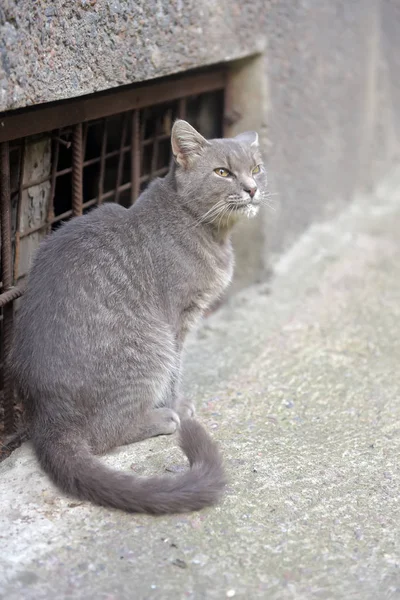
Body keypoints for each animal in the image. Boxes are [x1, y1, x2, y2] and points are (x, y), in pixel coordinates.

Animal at [10, 119, 266, 512]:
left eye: (256, 168)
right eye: (222, 172)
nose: (252, 188)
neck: (209, 231)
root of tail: (49, 418)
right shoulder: (177, 319)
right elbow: (175, 372)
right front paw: (176, 404)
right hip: (150, 344)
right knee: (105, 433)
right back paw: (161, 417)